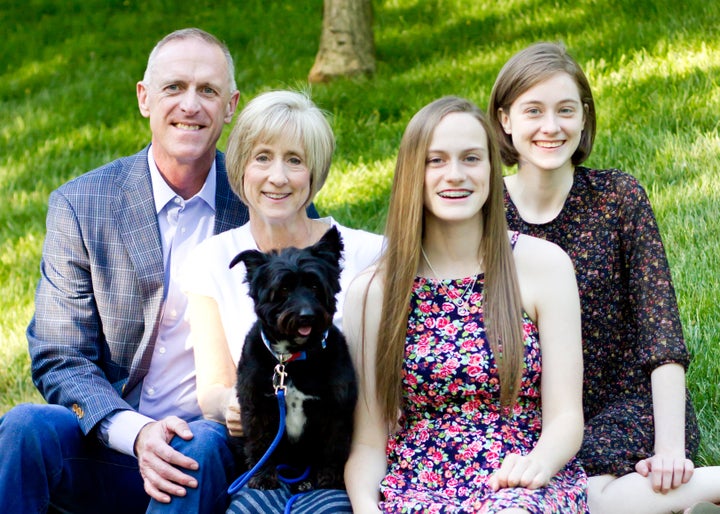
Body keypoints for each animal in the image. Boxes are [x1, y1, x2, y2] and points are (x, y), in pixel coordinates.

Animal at [228, 225, 358, 488]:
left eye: (316, 286)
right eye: (283, 289)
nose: (307, 315)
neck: (291, 360)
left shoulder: (335, 411)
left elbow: (332, 448)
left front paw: (327, 479)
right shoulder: (258, 408)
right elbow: (261, 445)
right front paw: (263, 476)